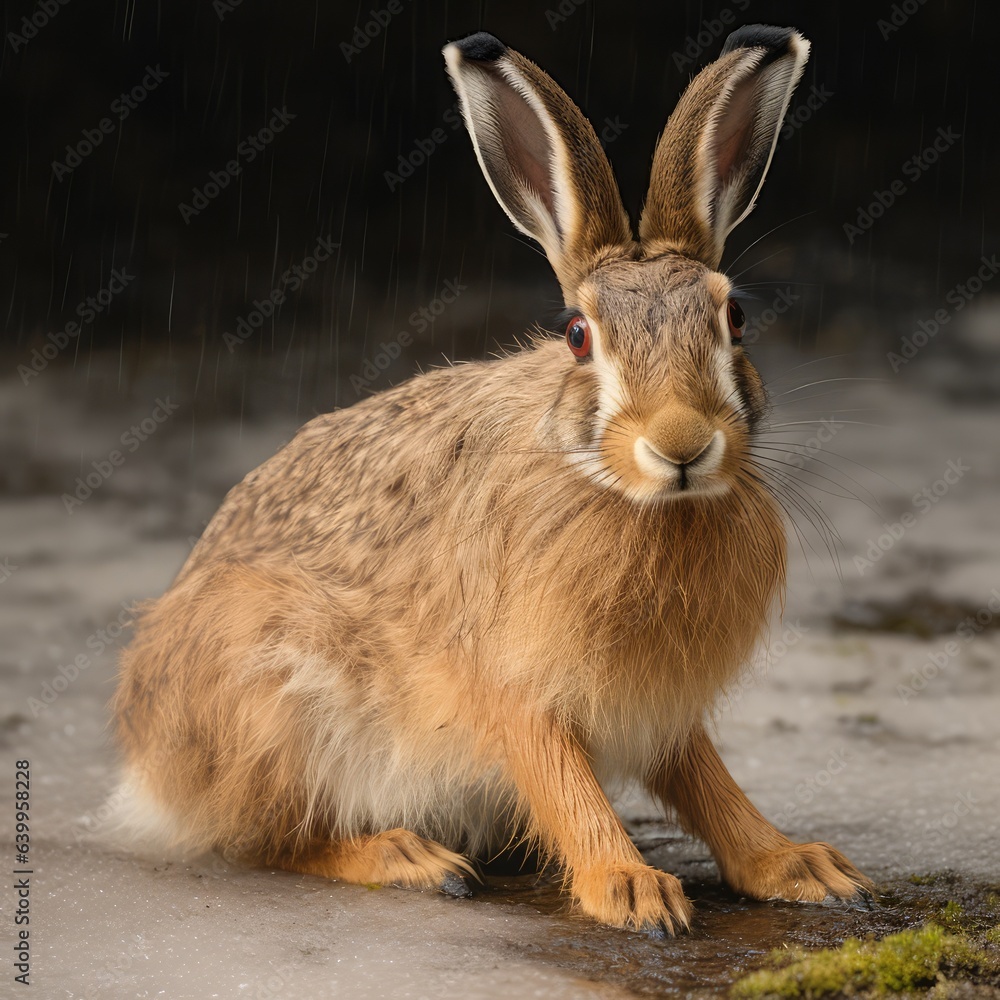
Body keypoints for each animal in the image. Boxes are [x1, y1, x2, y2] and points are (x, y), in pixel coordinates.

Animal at [112, 24, 872, 935]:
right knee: (269, 838)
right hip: (271, 694)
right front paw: (631, 889)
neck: (618, 492)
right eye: (577, 335)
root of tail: (149, 764)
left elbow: (707, 781)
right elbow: (564, 781)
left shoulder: (661, 712)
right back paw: (408, 859)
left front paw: (798, 867)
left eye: (737, 318)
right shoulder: (517, 688)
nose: (682, 443)